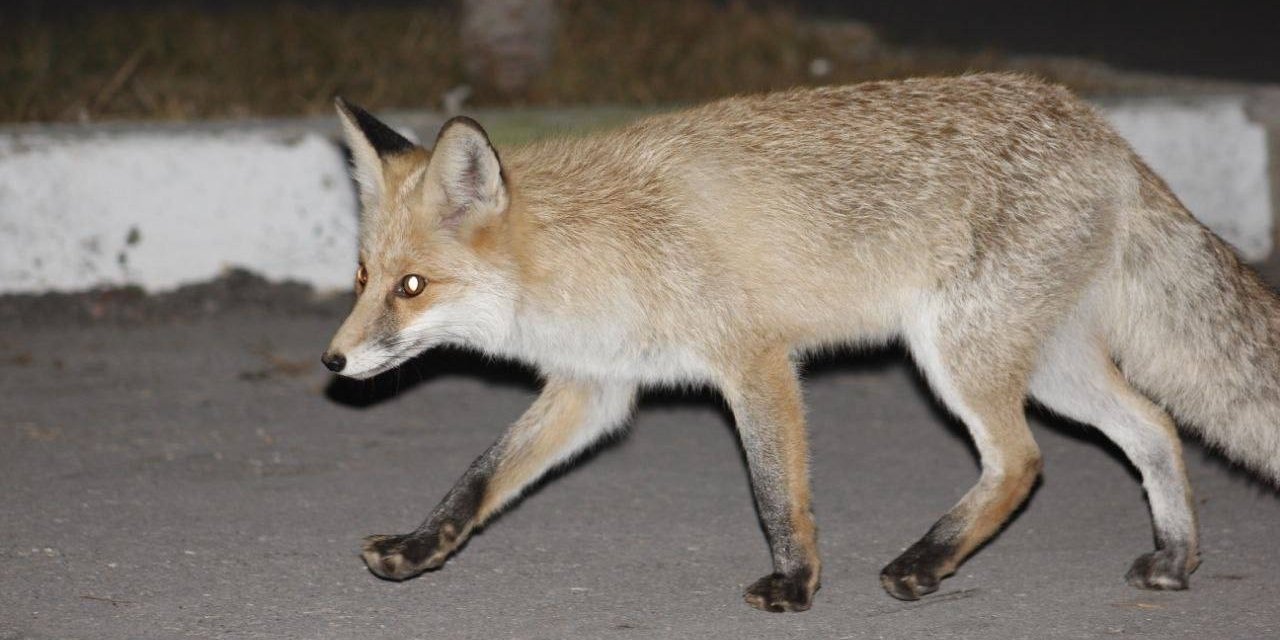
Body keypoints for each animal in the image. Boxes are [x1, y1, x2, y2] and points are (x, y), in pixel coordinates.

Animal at [320, 72, 1280, 611]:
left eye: (413, 287)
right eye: (363, 276)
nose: (333, 362)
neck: (595, 247)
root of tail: (1104, 130)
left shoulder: (756, 362)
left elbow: (776, 493)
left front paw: (795, 584)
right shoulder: (595, 388)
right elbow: (479, 479)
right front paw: (419, 548)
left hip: (959, 356)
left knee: (1022, 462)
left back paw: (925, 563)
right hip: (1049, 365)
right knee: (1154, 426)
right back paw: (1176, 559)